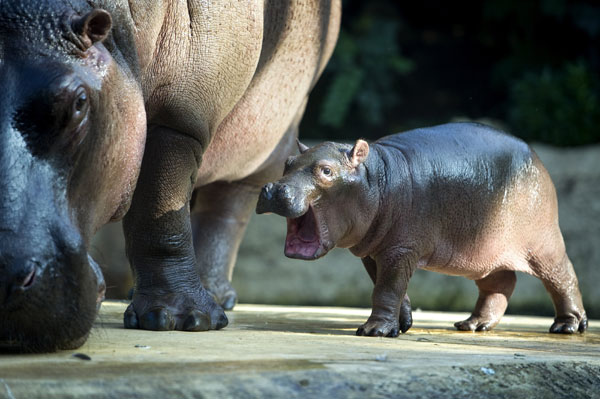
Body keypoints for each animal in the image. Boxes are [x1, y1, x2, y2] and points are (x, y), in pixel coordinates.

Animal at [0, 0, 340, 352]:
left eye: (80, 102)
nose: (3, 278)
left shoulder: (176, 120)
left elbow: (160, 211)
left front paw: (181, 319)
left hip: (273, 130)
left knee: (229, 206)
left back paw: (215, 296)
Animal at [256, 122, 584, 338]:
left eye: (326, 170)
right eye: (287, 163)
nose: (272, 188)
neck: (377, 178)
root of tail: (536, 156)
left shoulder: (400, 249)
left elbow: (387, 289)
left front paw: (373, 331)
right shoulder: (374, 253)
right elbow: (391, 288)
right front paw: (401, 325)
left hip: (543, 243)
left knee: (562, 276)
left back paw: (567, 327)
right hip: (484, 251)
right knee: (499, 284)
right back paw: (472, 325)